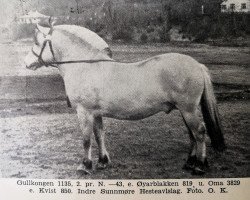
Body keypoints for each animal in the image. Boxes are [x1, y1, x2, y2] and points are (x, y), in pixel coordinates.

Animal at [24, 22, 226, 175]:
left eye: (36, 42)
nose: (25, 63)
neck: (86, 66)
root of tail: (197, 65)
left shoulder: (84, 112)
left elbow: (86, 139)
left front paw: (85, 165)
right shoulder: (96, 113)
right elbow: (99, 135)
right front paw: (103, 161)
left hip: (188, 109)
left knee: (199, 132)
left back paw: (199, 166)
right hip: (185, 110)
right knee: (192, 135)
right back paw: (189, 163)